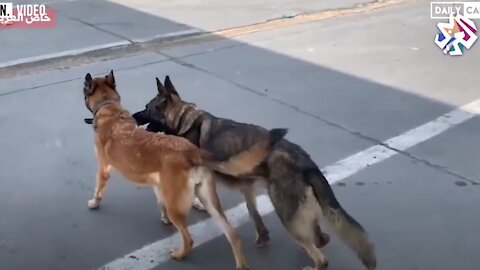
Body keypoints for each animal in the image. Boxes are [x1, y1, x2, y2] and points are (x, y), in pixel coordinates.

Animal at [81, 70, 288, 268]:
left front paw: (94, 202)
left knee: (189, 239)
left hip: (182, 209)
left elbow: (99, 188)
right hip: (209, 200)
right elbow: (160, 202)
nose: (135, 117)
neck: (109, 108)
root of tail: (193, 152)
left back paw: (180, 255)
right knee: (233, 234)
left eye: (147, 107)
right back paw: (242, 263)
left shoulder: (103, 169)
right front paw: (163, 218)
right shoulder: (158, 183)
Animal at [132, 76, 378, 270]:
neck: (183, 118)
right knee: (320, 238)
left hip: (285, 212)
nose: (133, 117)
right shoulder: (246, 187)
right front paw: (261, 235)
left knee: (320, 256)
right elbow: (253, 212)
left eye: (146, 107)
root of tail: (304, 161)